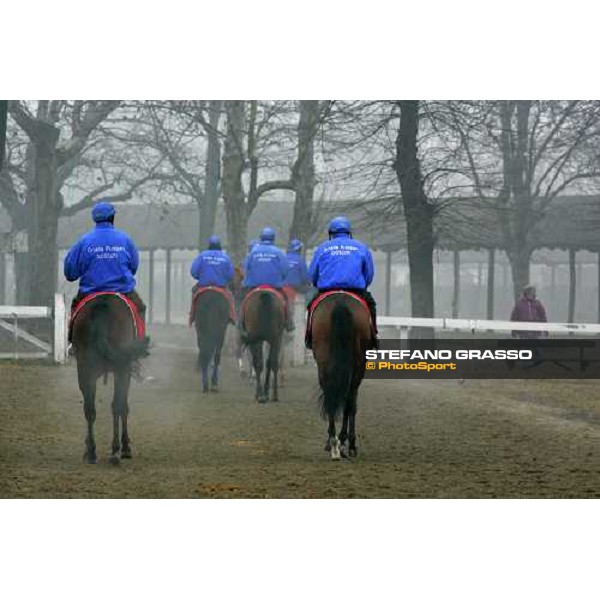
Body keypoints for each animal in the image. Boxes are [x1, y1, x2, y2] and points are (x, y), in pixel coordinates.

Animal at [72, 294, 150, 464]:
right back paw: (116, 450)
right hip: (121, 369)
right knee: (117, 406)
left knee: (90, 409)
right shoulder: (125, 371)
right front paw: (126, 447)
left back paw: (91, 451)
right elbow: (124, 406)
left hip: (85, 370)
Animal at [312, 292, 372, 462]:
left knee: (333, 395)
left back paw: (334, 443)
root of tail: (340, 304)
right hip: (358, 365)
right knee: (349, 399)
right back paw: (345, 443)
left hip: (325, 362)